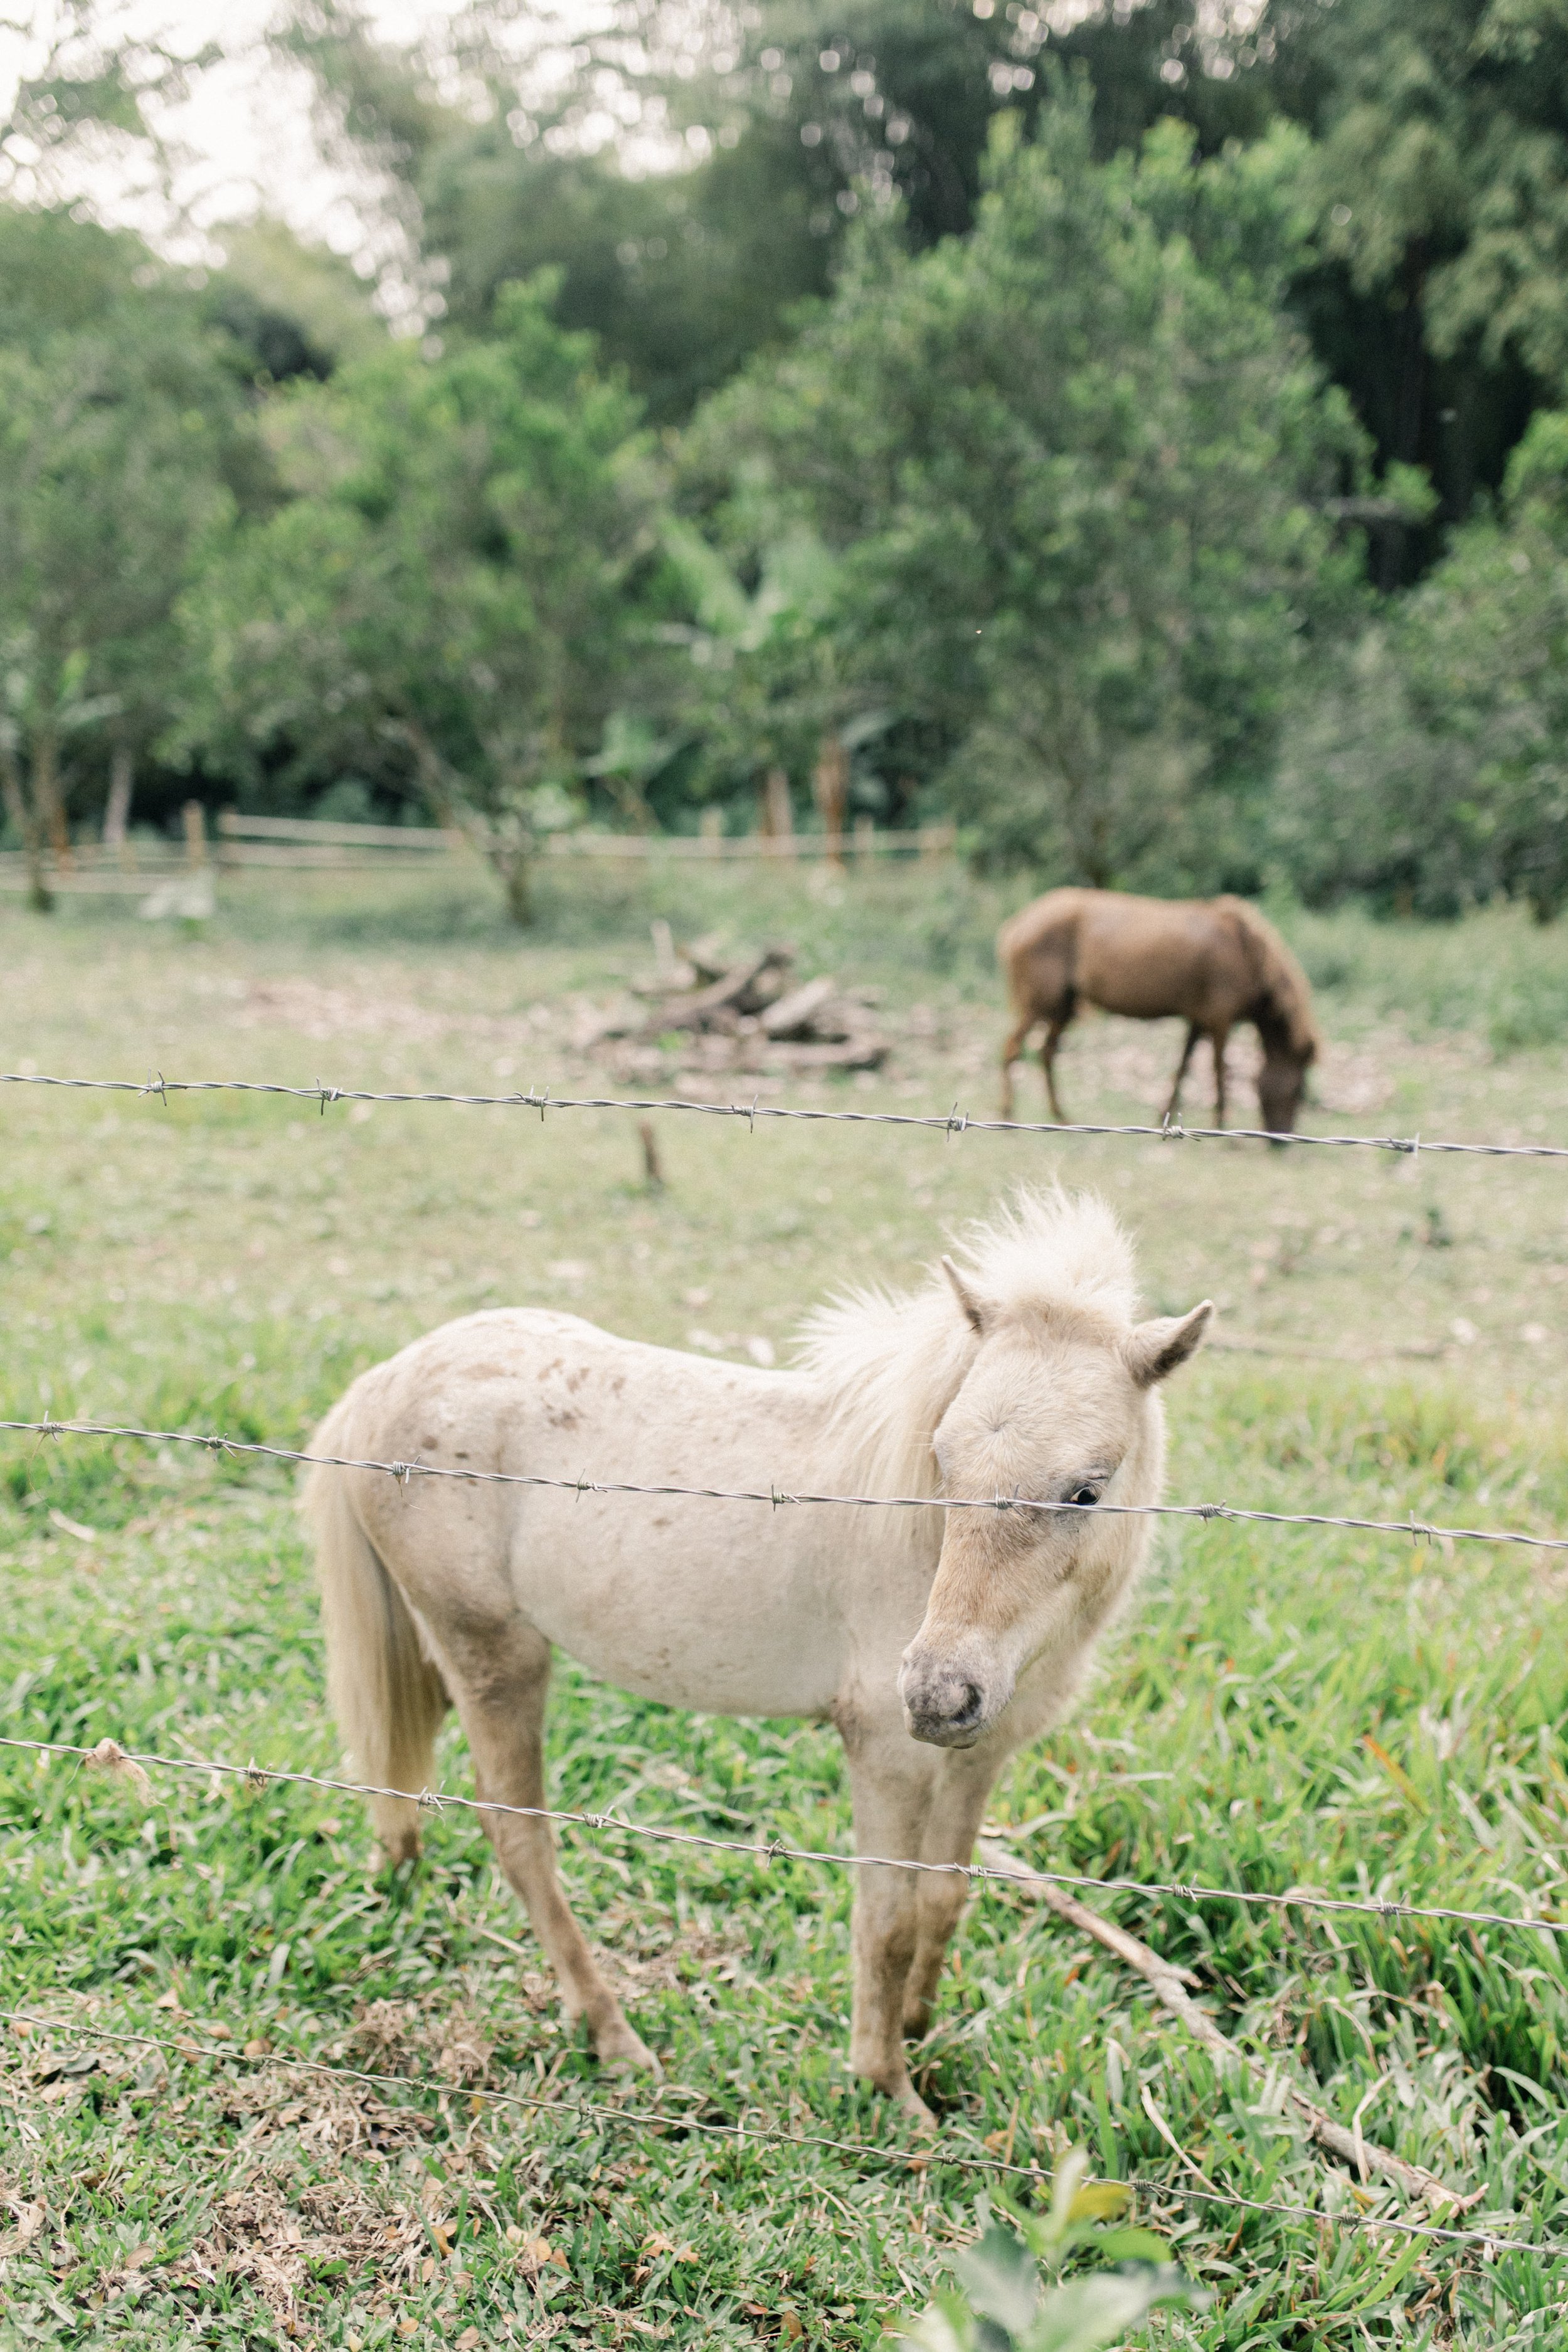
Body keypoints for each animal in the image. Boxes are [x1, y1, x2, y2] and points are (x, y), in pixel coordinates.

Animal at [310, 1185, 1213, 2126]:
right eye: (944, 1461)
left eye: (1086, 1490)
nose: (936, 1692)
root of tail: (380, 1382)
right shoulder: (887, 1755)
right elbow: (886, 1922)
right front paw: (889, 2088)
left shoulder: (979, 1755)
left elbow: (943, 1896)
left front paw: (920, 2026)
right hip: (498, 1660)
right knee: (521, 1839)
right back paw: (615, 2037)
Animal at [1001, 884, 1316, 1133]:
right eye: (1296, 1090)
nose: (1281, 1140)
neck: (1246, 951)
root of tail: (1017, 926)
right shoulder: (1220, 1020)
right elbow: (1218, 1072)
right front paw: (1222, 1129)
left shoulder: (1197, 1021)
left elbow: (1183, 1067)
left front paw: (1163, 1115)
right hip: (1041, 1006)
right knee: (1013, 1049)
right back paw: (1009, 1113)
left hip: (1063, 1008)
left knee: (1046, 1054)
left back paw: (1061, 1116)